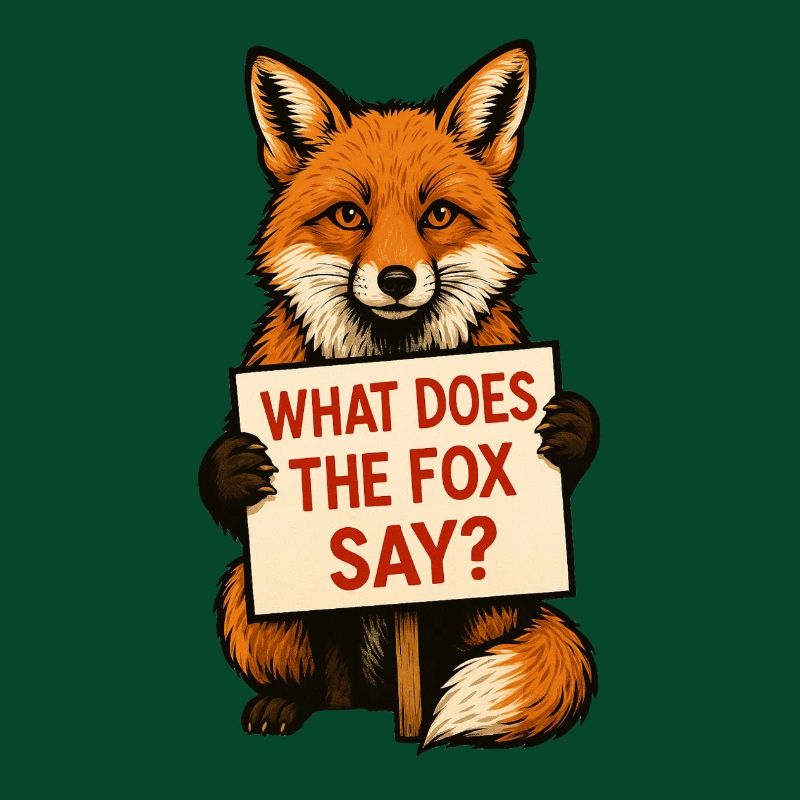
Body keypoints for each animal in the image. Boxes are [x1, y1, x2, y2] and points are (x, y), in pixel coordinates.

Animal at [199, 41, 600, 749]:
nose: (394, 279)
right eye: (349, 216)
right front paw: (236, 465)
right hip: (245, 594)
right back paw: (292, 704)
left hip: (491, 601)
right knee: (319, 678)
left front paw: (569, 429)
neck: (390, 366)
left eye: (437, 214)